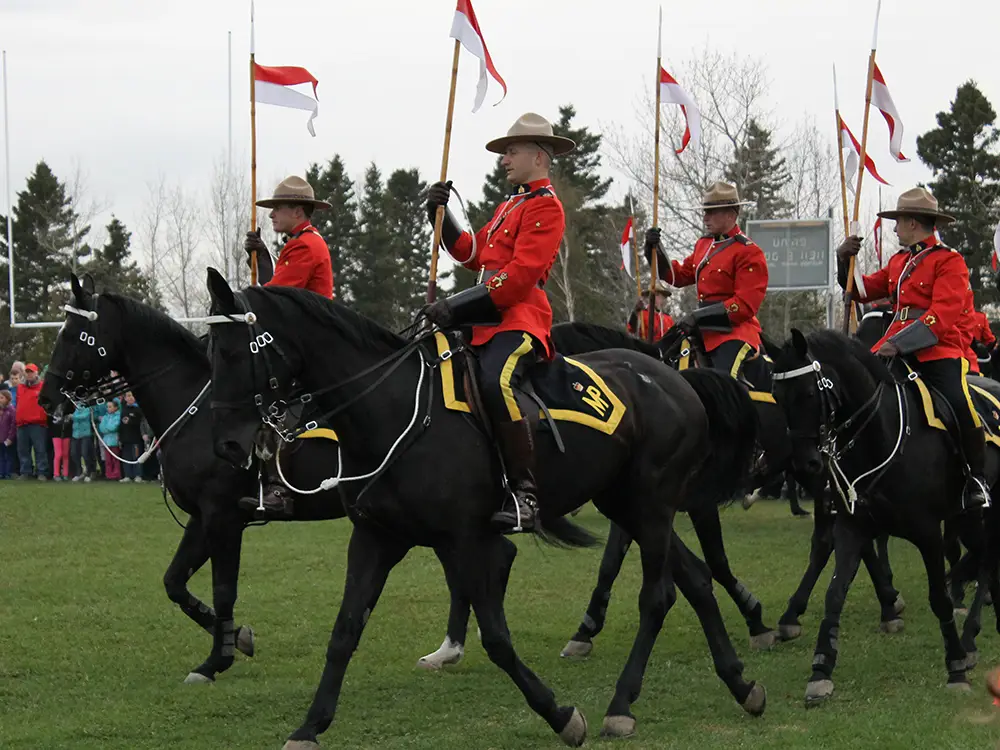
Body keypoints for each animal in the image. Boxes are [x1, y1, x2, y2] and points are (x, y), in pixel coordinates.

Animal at [203, 272, 764, 750]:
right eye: (211, 353)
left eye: (233, 353)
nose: (227, 445)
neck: (395, 411)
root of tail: (675, 378)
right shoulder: (375, 539)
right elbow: (344, 632)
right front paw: (310, 726)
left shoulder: (466, 539)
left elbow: (495, 637)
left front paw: (560, 715)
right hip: (627, 503)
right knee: (694, 580)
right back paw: (740, 683)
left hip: (650, 503)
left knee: (657, 596)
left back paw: (623, 704)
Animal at [548, 320, 908, 656]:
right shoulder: (640, 503)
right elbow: (612, 562)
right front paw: (586, 628)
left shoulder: (698, 501)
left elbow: (717, 561)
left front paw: (754, 618)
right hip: (810, 470)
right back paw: (884, 601)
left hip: (818, 474)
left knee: (830, 538)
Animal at [768, 328, 996, 704]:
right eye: (776, 396)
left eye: (808, 393)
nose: (805, 464)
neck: (882, 435)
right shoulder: (852, 524)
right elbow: (835, 591)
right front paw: (821, 669)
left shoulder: (928, 533)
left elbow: (939, 599)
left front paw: (955, 667)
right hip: (969, 520)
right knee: (985, 558)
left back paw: (969, 637)